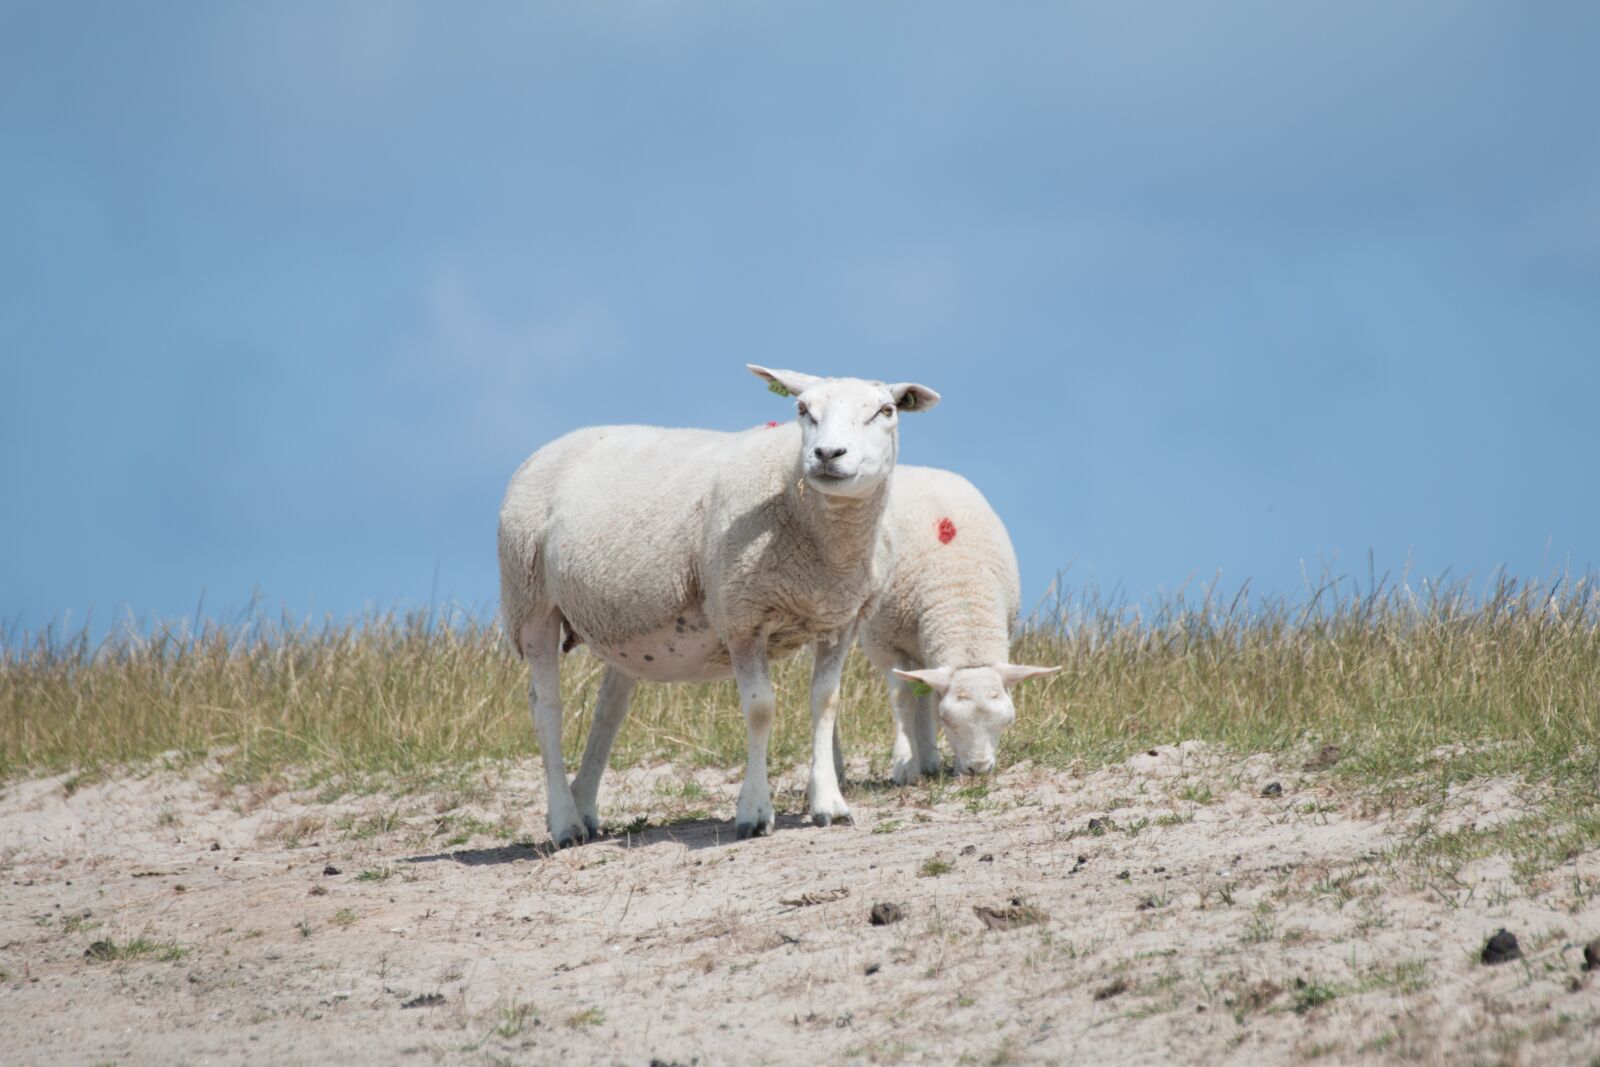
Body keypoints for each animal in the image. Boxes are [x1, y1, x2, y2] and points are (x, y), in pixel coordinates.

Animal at [497, 365, 940, 846]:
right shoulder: (742, 616)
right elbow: (761, 709)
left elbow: (825, 702)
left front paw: (830, 804)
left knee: (609, 709)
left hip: (620, 622)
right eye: (803, 409)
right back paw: (565, 822)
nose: (826, 453)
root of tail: (551, 446)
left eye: (886, 410)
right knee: (546, 709)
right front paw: (754, 812)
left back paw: (584, 808)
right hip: (529, 598)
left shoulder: (840, 619)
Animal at [858, 465, 1058, 783]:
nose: (978, 769)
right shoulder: (884, 644)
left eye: (1006, 722)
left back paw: (928, 761)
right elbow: (902, 698)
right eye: (948, 722)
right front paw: (904, 766)